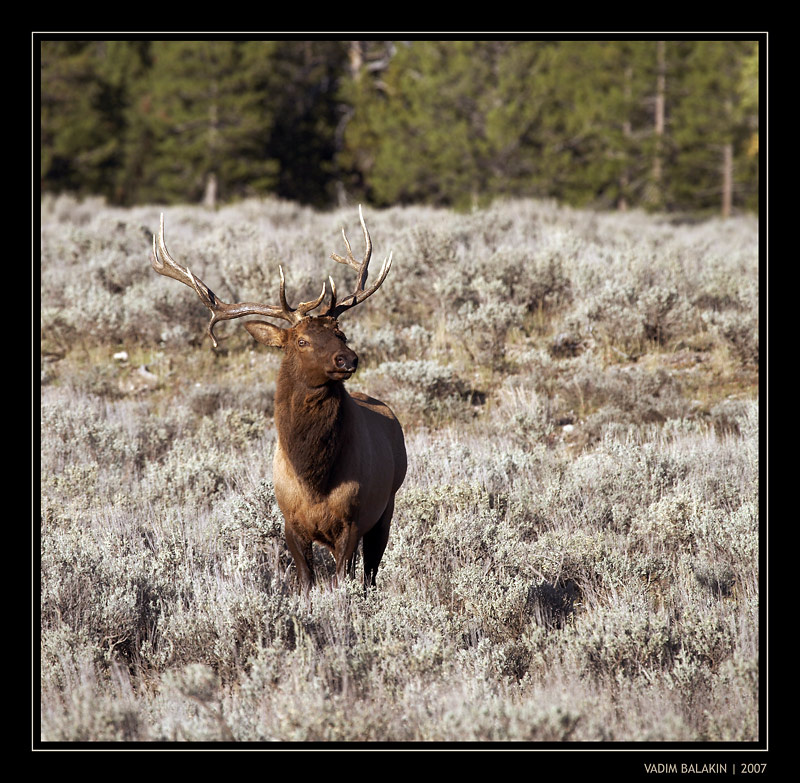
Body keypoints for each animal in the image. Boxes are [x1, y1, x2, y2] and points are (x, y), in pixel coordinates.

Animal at [150, 207, 406, 596]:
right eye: (301, 341)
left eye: (341, 333)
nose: (348, 359)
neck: (315, 479)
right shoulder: (290, 522)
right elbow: (306, 582)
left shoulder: (352, 520)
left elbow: (342, 582)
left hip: (386, 507)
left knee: (371, 572)